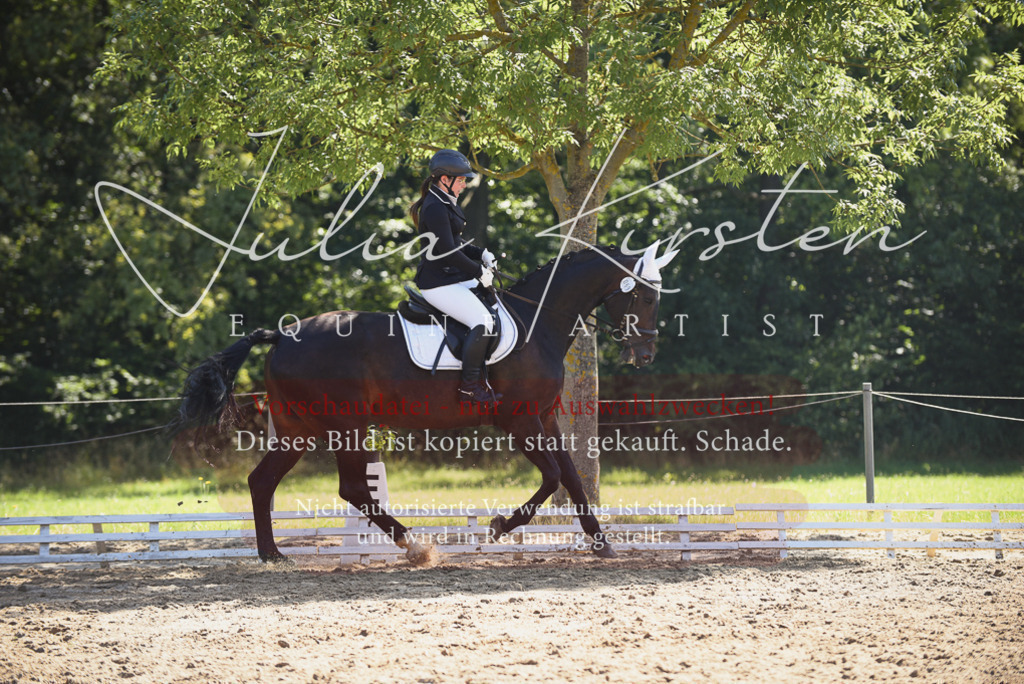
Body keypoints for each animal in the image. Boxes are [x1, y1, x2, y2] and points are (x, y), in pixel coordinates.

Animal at [175, 241, 679, 563]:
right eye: (644, 296)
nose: (646, 354)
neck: (536, 319)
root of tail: (282, 335)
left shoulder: (544, 416)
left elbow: (572, 476)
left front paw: (600, 542)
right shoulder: (518, 419)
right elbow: (553, 476)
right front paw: (499, 526)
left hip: (300, 428)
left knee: (263, 481)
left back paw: (272, 554)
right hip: (346, 424)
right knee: (352, 488)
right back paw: (414, 545)